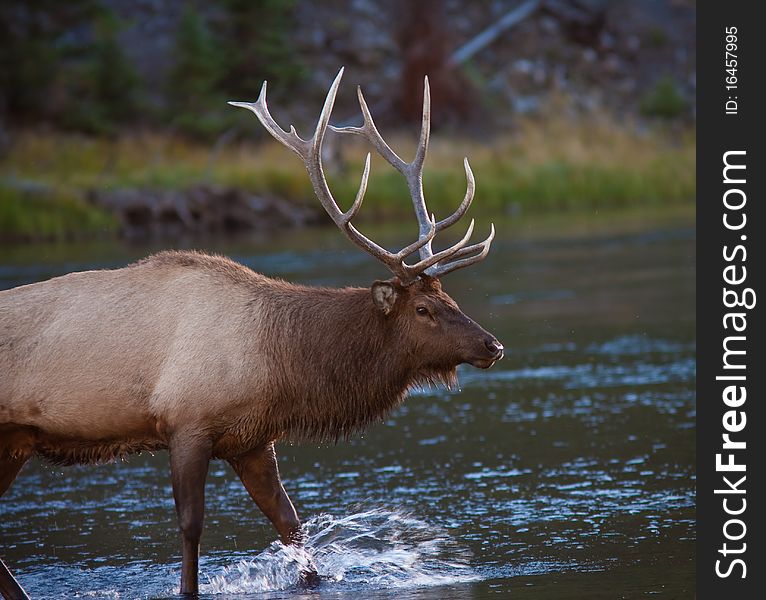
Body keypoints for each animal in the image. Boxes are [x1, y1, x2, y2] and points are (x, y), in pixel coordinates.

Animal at [0, 69, 504, 596]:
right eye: (424, 309)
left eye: (451, 299)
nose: (493, 345)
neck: (278, 362)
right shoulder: (187, 422)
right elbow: (192, 525)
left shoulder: (252, 440)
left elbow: (290, 523)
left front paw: (311, 577)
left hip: (14, 439)